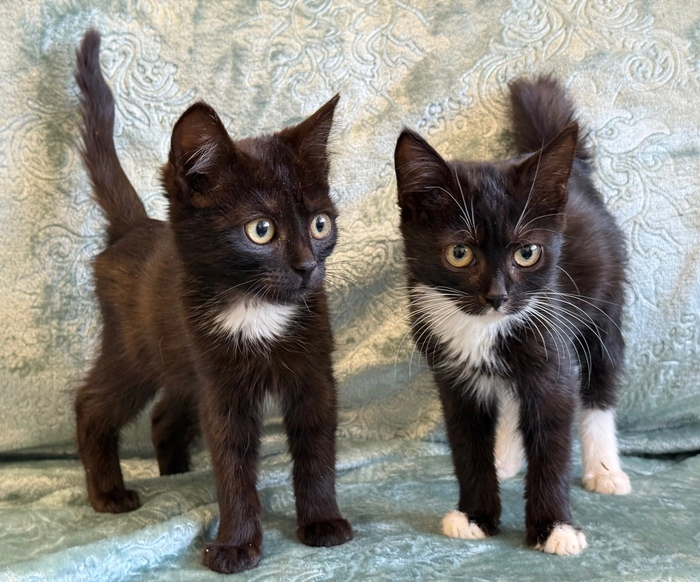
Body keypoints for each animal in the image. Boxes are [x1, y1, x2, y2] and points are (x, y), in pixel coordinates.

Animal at [74, 29, 352, 574]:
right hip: (136, 350)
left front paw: (322, 521)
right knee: (92, 403)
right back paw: (108, 494)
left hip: (179, 360)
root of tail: (132, 229)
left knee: (164, 415)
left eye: (319, 224)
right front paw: (237, 544)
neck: (256, 307)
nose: (308, 267)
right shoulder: (221, 384)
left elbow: (315, 445)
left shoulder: (313, 369)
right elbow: (232, 460)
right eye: (261, 230)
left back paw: (175, 473)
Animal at [394, 75, 631, 556]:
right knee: (507, 395)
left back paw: (604, 469)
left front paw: (554, 527)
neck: (481, 327)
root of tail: (572, 172)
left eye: (527, 253)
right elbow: (466, 443)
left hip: (605, 304)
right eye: (459, 253)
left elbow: (552, 442)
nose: (497, 296)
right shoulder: (452, 375)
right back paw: (505, 457)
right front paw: (476, 515)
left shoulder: (550, 352)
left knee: (600, 381)